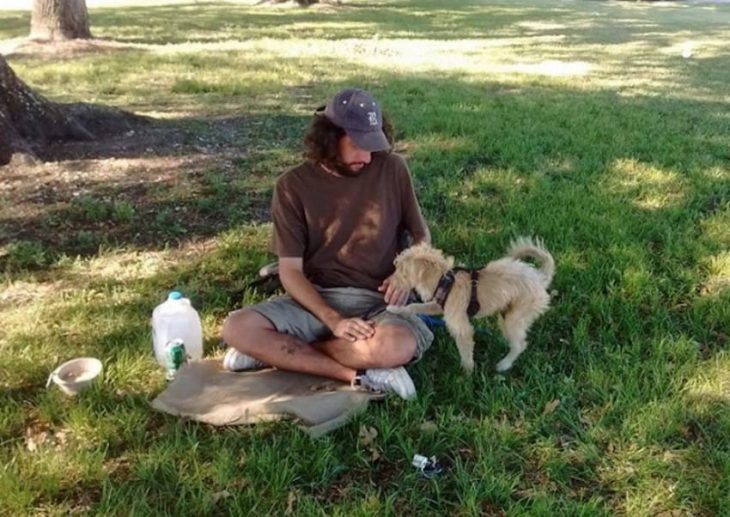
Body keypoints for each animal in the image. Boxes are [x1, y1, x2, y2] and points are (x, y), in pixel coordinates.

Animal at [386, 236, 552, 372]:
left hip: (514, 319)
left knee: (520, 345)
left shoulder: (461, 327)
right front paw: (395, 309)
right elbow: (413, 307)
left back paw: (504, 365)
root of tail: (539, 277)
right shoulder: (437, 306)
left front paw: (467, 374)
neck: (444, 281)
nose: (388, 281)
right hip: (506, 316)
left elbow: (465, 351)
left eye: (401, 271)